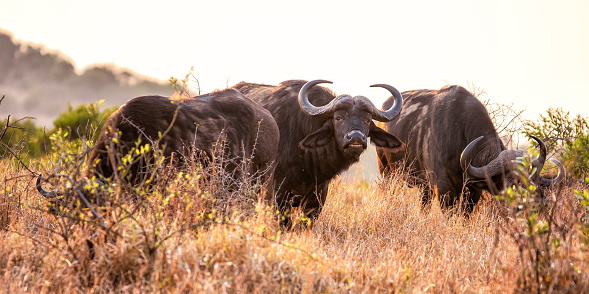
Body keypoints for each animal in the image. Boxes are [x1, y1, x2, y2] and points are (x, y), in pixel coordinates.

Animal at [374, 85, 564, 211]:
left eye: (534, 178)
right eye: (512, 181)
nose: (538, 202)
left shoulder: (473, 192)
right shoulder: (443, 189)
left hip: (423, 186)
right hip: (386, 171)